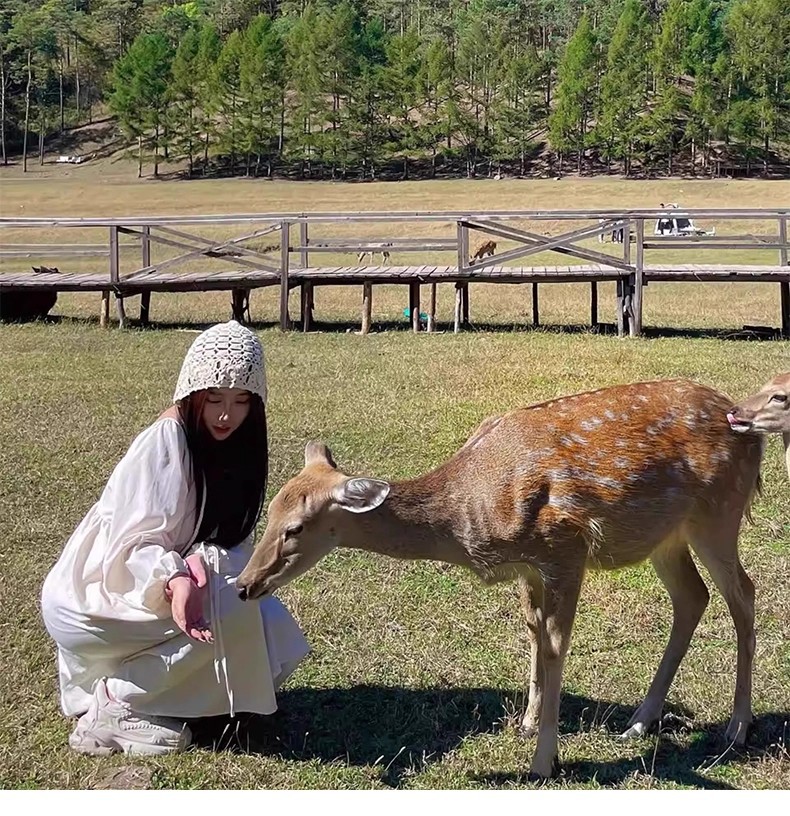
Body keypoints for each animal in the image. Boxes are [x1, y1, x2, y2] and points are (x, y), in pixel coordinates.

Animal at [236, 379, 764, 779]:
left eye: (295, 528)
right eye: (269, 510)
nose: (244, 584)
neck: (471, 515)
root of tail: (750, 431)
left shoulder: (565, 546)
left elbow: (555, 644)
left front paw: (543, 761)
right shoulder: (529, 566)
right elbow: (532, 632)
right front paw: (528, 723)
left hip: (719, 512)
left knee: (743, 593)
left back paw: (738, 727)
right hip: (666, 537)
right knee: (693, 597)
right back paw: (639, 721)